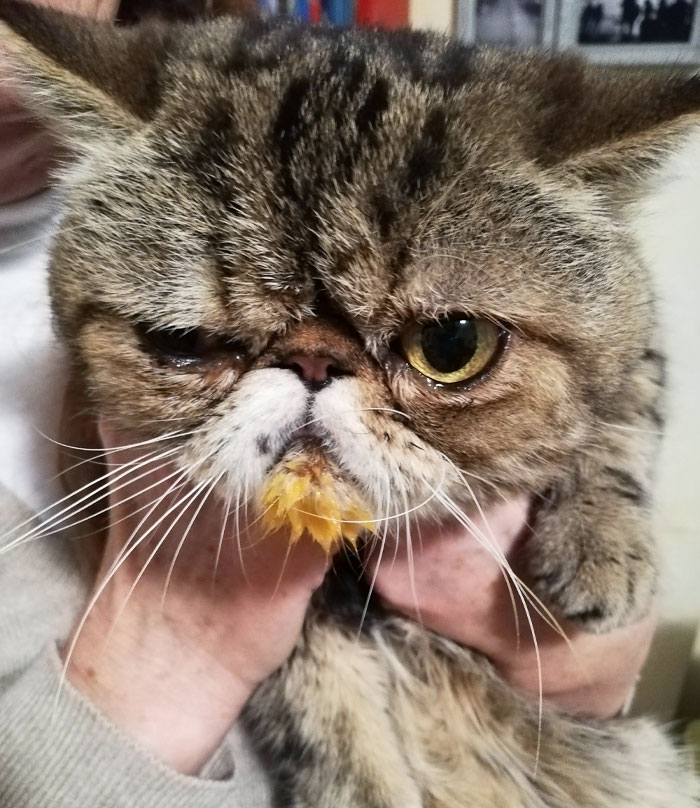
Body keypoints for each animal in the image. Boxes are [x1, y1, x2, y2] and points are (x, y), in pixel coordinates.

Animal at [2, 3, 696, 804]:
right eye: (185, 342)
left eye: (452, 344)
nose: (314, 357)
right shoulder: (305, 651)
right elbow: (332, 734)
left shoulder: (641, 340)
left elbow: (625, 411)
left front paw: (601, 540)